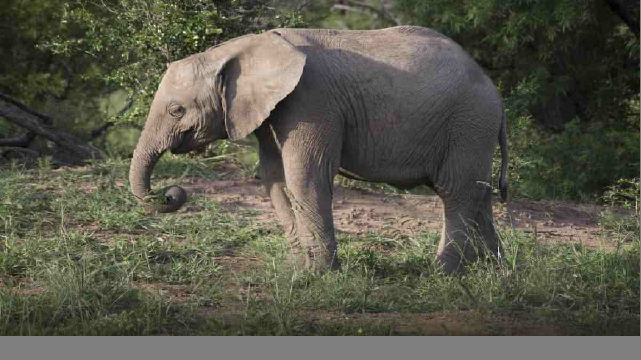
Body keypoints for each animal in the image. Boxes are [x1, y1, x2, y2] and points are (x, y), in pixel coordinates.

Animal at [131, 26, 510, 274]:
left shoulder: (310, 101)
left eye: (176, 110)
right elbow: (274, 177)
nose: (172, 193)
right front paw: (298, 268)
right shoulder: (274, 109)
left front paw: (320, 275)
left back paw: (443, 273)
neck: (238, 48)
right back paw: (495, 269)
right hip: (473, 128)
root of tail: (496, 93)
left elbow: (305, 177)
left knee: (456, 191)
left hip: (469, 122)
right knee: (478, 193)